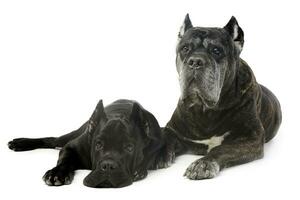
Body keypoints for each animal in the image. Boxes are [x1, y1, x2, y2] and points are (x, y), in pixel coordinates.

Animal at [8, 99, 164, 188]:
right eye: (98, 144)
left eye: (129, 147)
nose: (108, 166)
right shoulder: (72, 146)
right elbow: (65, 160)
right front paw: (57, 173)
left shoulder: (158, 143)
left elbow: (151, 156)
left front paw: (139, 170)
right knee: (52, 140)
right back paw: (19, 143)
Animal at [156, 14, 282, 180]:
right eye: (185, 48)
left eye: (216, 50)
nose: (195, 61)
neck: (205, 109)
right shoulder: (174, 129)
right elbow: (165, 136)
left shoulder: (250, 138)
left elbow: (221, 149)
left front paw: (203, 163)